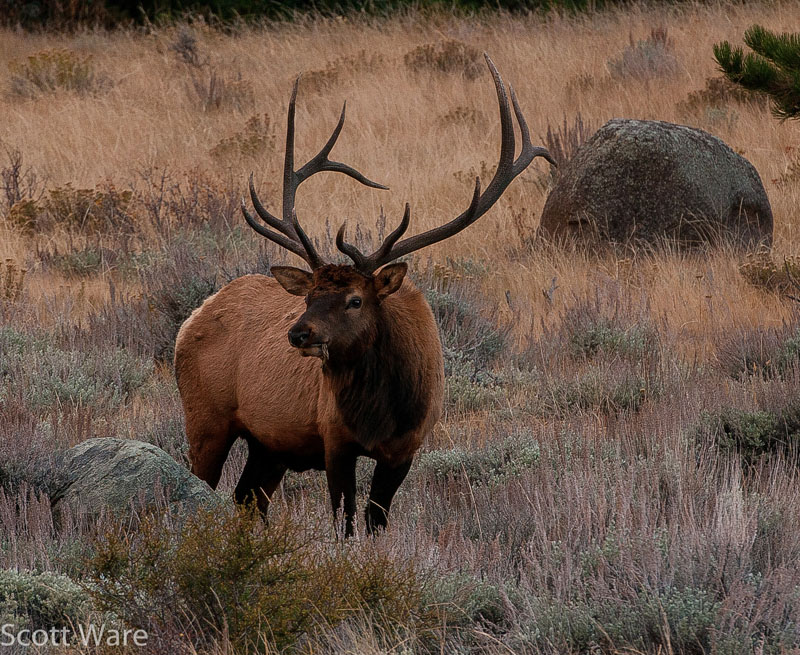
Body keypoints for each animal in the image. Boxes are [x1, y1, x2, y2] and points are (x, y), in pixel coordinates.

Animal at [174, 55, 555, 536]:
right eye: (309, 297)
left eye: (355, 300)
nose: (298, 333)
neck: (381, 412)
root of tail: (191, 320)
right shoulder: (334, 438)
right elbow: (346, 521)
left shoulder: (406, 448)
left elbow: (375, 521)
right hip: (205, 418)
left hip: (268, 444)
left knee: (247, 498)